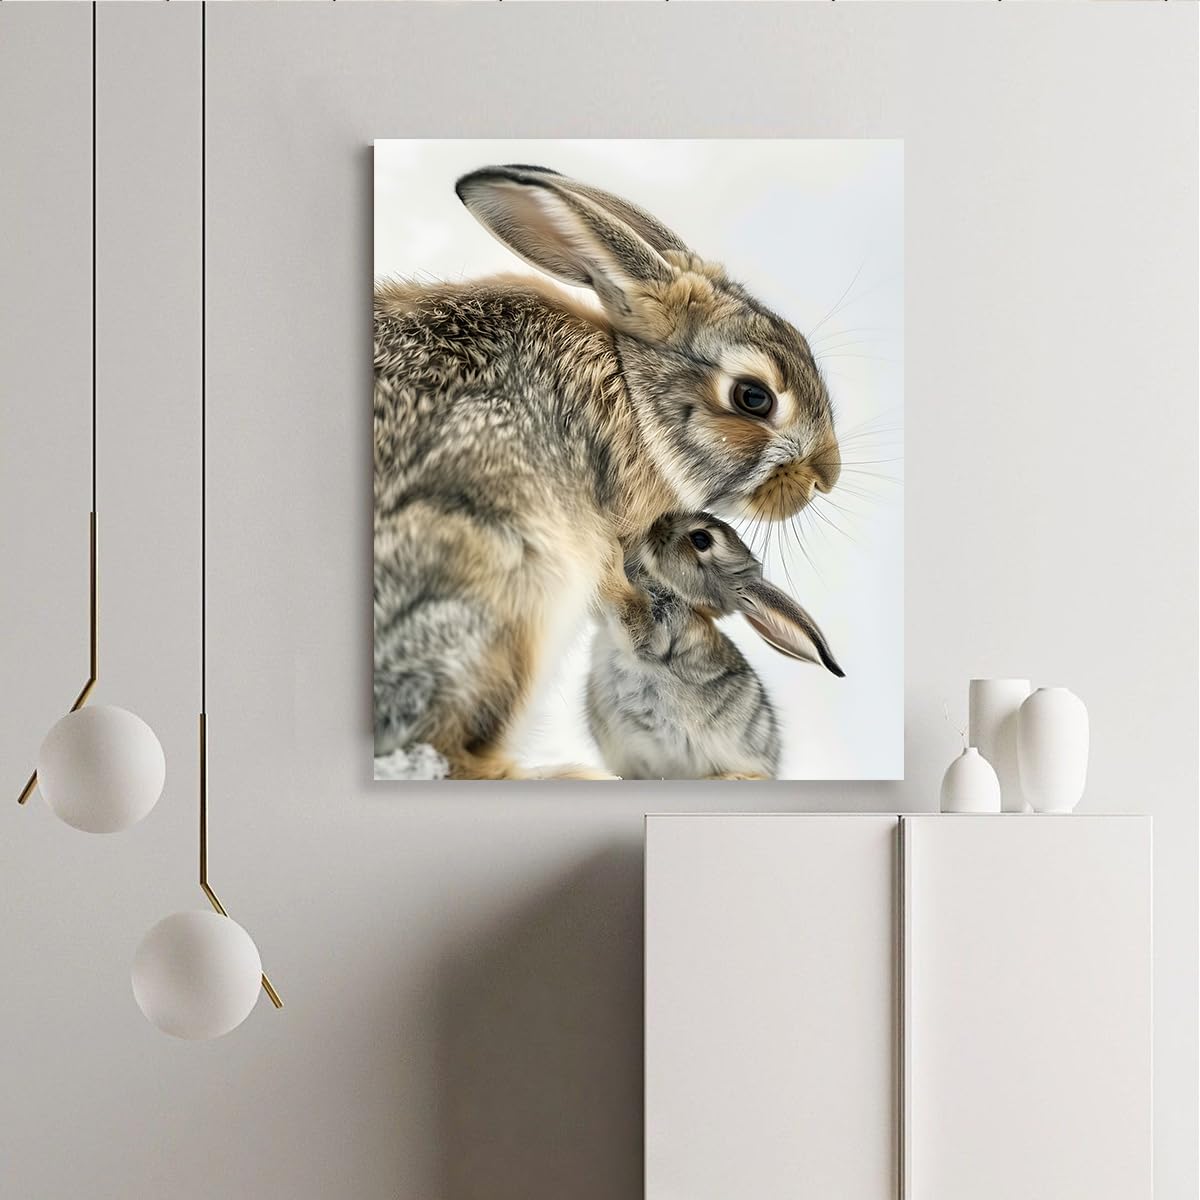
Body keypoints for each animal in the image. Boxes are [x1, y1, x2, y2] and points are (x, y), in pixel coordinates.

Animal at [585, 512, 843, 780]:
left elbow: (630, 616)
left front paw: (610, 552)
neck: (688, 601)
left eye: (701, 539)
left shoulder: (664, 630)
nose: (659, 523)